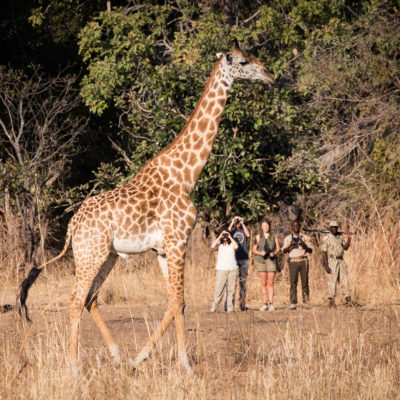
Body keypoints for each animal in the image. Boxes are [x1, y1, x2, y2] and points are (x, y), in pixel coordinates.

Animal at [17, 39, 274, 374]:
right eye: (243, 62)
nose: (270, 76)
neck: (187, 174)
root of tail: (73, 225)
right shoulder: (178, 241)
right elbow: (179, 301)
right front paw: (186, 365)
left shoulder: (163, 249)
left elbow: (174, 303)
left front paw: (139, 359)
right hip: (90, 254)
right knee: (75, 299)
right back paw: (73, 368)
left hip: (107, 255)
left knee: (90, 298)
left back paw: (117, 357)